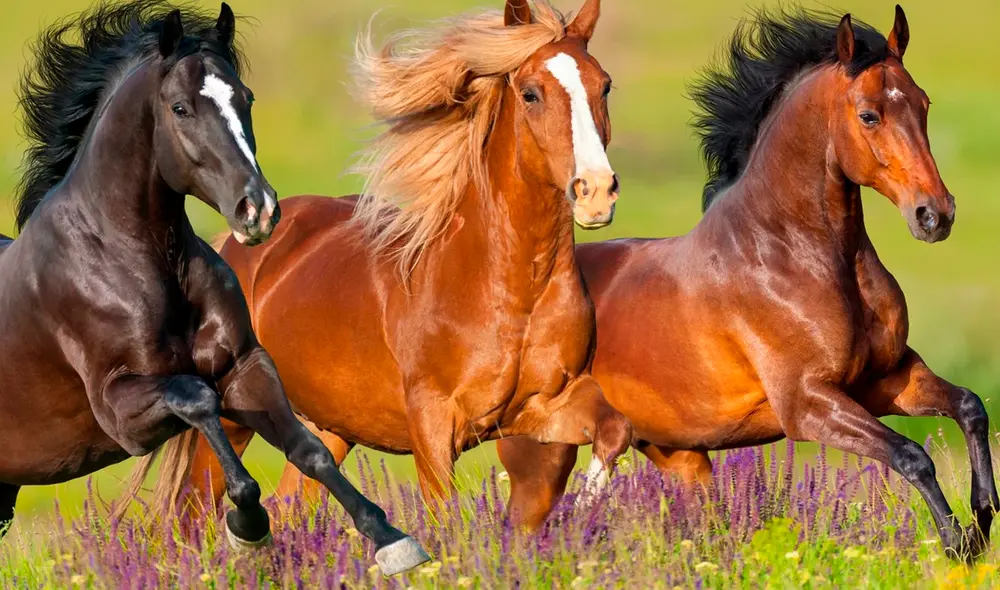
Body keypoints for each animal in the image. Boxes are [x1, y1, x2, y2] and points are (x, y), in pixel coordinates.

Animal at [0, 1, 427, 576]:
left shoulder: (244, 366)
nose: (258, 209)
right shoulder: (121, 412)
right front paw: (247, 526)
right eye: (180, 108)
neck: (130, 258)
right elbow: (198, 398)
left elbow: (308, 448)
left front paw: (391, 539)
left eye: (245, 98)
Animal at [142, 0, 634, 515]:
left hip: (328, 427)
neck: (513, 289)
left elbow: (614, 430)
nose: (596, 192)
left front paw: (583, 511)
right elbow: (444, 515)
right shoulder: (433, 426)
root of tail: (233, 247)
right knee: (192, 509)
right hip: (235, 417)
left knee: (292, 502)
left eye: (604, 85)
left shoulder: (543, 405)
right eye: (531, 93)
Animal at [496, 6, 997, 560]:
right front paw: (958, 543)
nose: (935, 215)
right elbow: (912, 455)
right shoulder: (808, 404)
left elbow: (970, 407)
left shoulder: (887, 379)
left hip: (680, 456)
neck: (790, 255)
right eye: (869, 115)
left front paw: (983, 517)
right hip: (542, 453)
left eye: (923, 103)